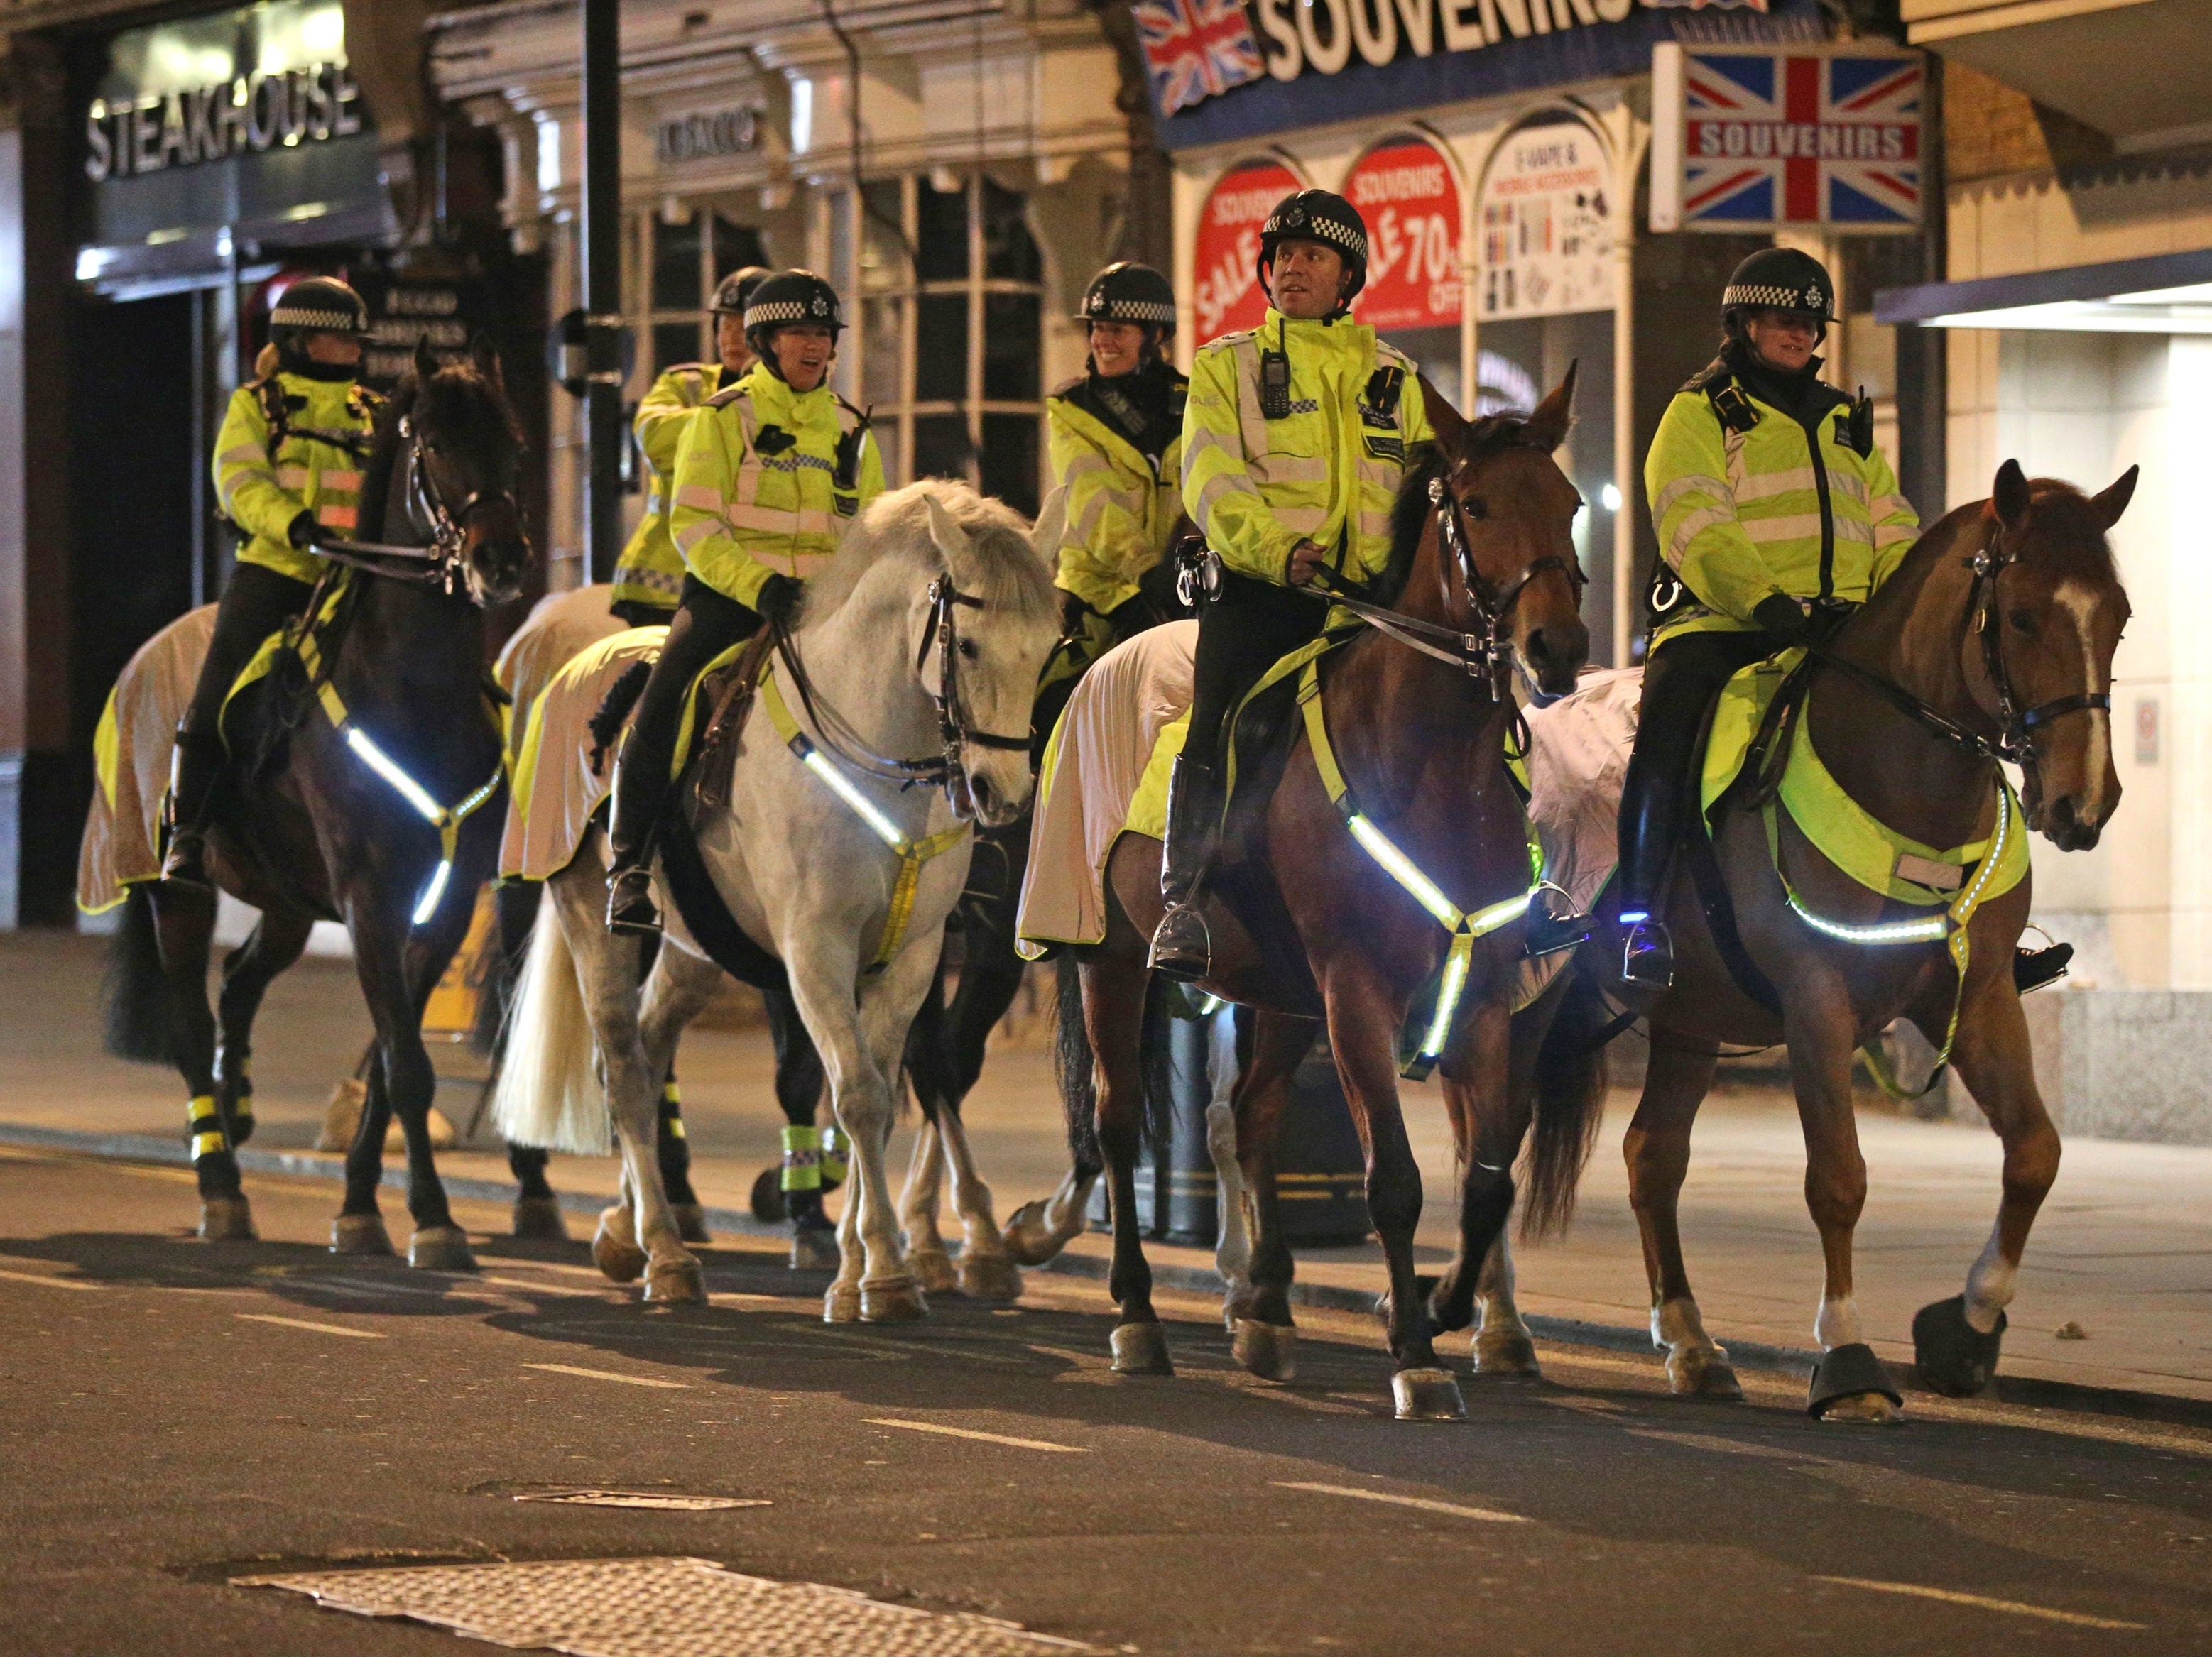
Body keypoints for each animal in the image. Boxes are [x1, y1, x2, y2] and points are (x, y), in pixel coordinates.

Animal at [104, 338, 535, 1265]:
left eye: (516, 446)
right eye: (435, 445)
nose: (502, 561)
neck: (413, 690)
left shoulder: (441, 904)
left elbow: (390, 1059)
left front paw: (364, 1206)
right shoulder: (371, 897)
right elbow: (405, 1064)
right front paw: (433, 1219)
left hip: (287, 902)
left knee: (238, 986)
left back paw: (237, 1111)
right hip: (177, 891)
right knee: (191, 1019)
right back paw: (221, 1185)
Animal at [495, 482, 1062, 1318]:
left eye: (1050, 646)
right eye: (966, 646)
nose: (1004, 794)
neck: (876, 756)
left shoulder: (912, 956)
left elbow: (882, 1095)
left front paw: (858, 1265)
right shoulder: (814, 950)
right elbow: (858, 1095)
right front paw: (886, 1273)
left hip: (696, 949)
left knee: (650, 1050)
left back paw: (629, 1233)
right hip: (593, 922)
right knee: (623, 1069)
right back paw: (667, 1255)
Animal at [1052, 373, 1592, 1424]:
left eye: (1571, 501)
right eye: (1476, 506)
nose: (1555, 646)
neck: (1428, 760)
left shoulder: (1480, 992)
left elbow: (1486, 1182)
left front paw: (1441, 1304)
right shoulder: (1357, 990)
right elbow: (1395, 1180)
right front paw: (1415, 1355)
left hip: (1280, 993)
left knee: (1252, 1112)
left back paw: (1264, 1310)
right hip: (1110, 957)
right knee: (1118, 1120)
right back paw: (1137, 1315)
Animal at [1513, 458, 2132, 1416]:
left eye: (2119, 617)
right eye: (2024, 615)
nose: (2082, 803)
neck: (1900, 787)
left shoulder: (1976, 997)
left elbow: (2034, 1153)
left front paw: (1965, 1329)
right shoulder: (1817, 1004)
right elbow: (1837, 1178)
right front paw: (1847, 1358)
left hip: (1687, 1020)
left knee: (1652, 1156)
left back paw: (1690, 1343)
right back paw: (1483, 1327)